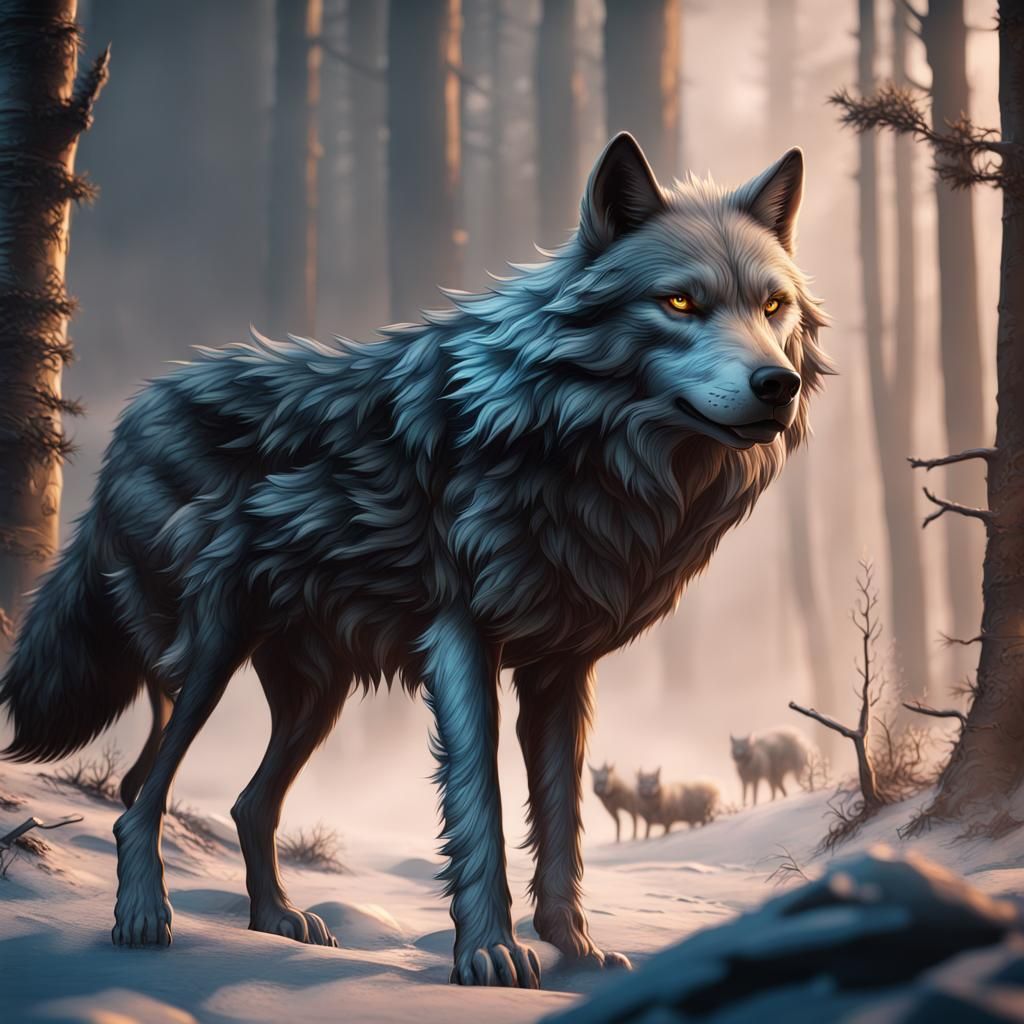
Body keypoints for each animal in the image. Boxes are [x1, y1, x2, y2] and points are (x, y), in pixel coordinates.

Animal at [0, 132, 829, 989]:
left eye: (773, 307)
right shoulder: (461, 644)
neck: (566, 442)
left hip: (314, 697)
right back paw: (143, 922)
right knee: (139, 795)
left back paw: (277, 923)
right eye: (679, 304)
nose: (776, 384)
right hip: (206, 661)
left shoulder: (562, 673)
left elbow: (561, 821)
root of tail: (133, 415)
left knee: (245, 803)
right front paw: (490, 954)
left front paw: (576, 951)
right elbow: (481, 809)